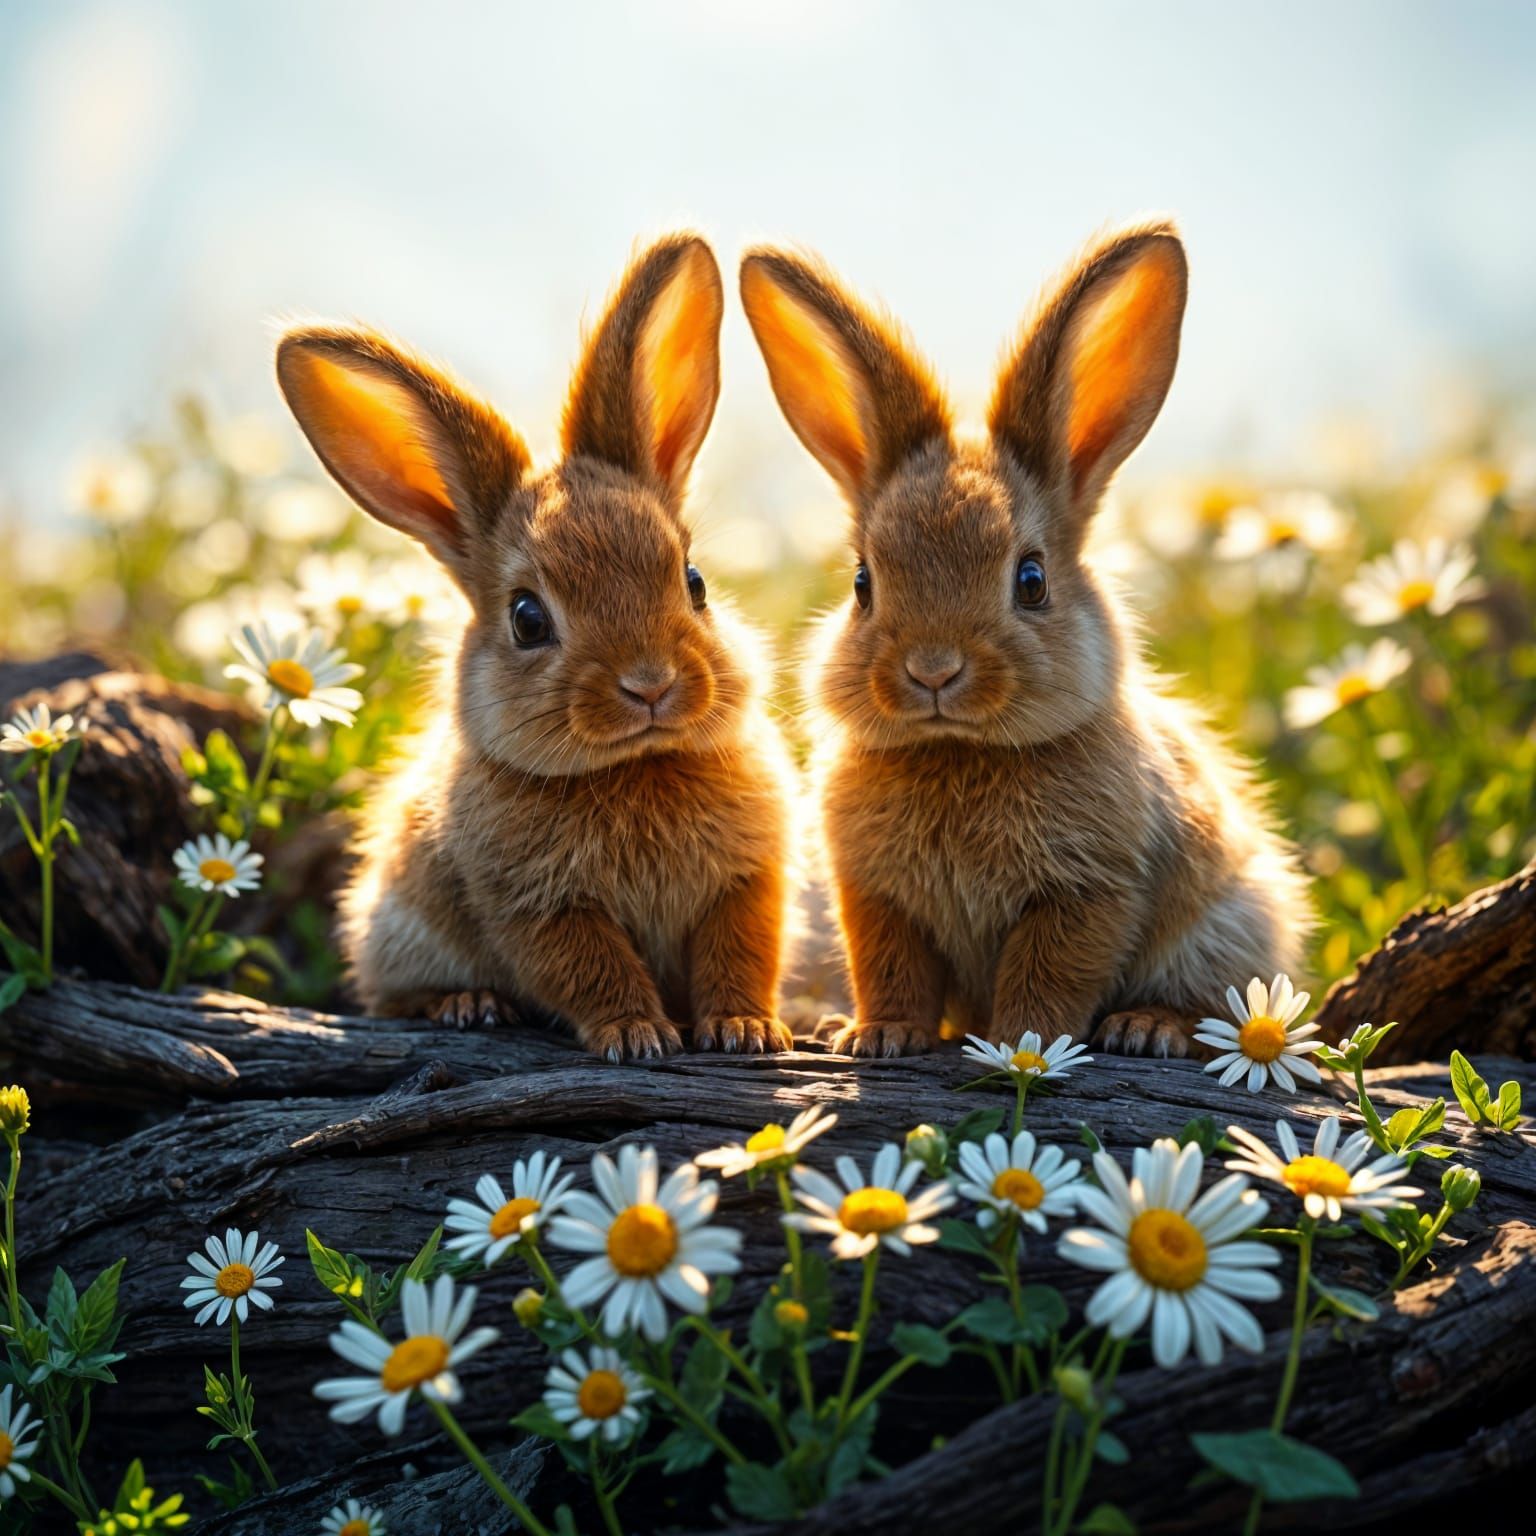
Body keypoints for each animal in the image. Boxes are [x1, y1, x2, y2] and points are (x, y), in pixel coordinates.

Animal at [275, 233, 796, 1059]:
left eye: (694, 582)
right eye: (527, 619)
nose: (650, 684)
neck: (636, 764)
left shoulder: (747, 882)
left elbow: (740, 952)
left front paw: (747, 1028)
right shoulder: (536, 907)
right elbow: (590, 968)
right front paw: (638, 1036)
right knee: (393, 996)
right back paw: (468, 1004)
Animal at [739, 218, 1312, 1059]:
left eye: (1032, 580)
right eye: (863, 584)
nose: (933, 670)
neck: (959, 749)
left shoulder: (1086, 890)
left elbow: (1050, 976)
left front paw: (1021, 1048)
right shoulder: (875, 898)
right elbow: (892, 970)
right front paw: (879, 1037)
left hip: (1231, 920)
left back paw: (1148, 1028)